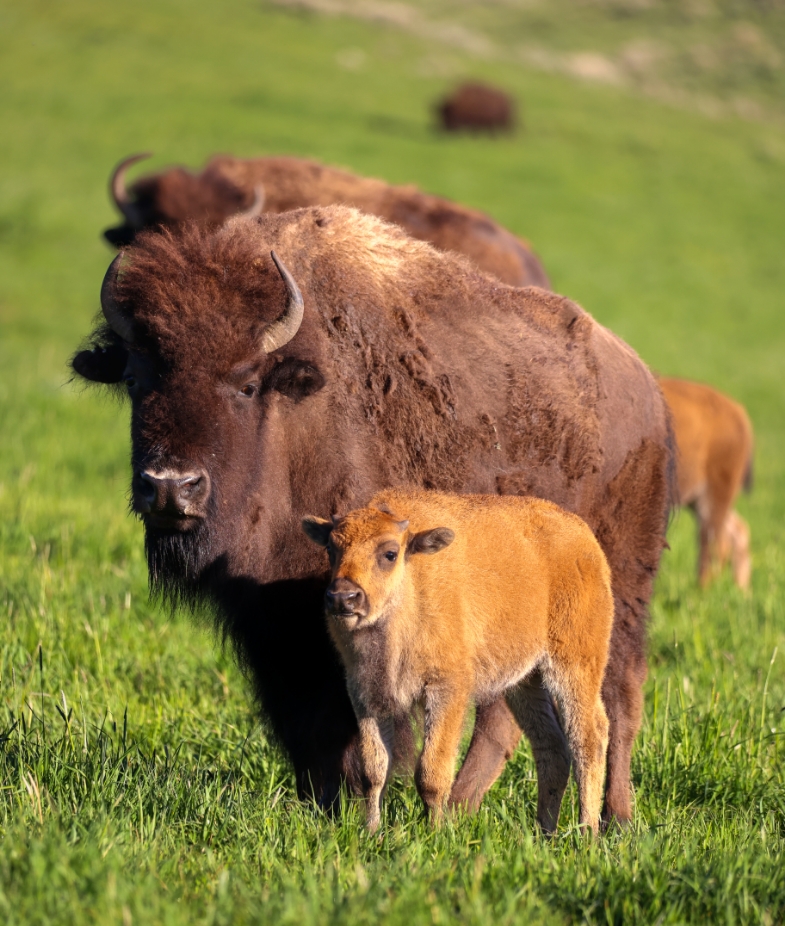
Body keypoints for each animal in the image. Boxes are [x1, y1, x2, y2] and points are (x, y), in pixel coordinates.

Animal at [304, 490, 616, 836]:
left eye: (389, 553)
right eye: (331, 549)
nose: (342, 597)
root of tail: (585, 539)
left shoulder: (446, 691)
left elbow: (431, 772)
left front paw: (435, 832)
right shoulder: (366, 695)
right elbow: (374, 770)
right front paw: (371, 832)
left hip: (574, 665)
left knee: (588, 737)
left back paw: (587, 832)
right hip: (524, 681)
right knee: (551, 746)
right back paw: (544, 833)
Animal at [660, 376, 752, 588]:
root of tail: (738, 412)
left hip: (716, 492)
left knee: (713, 542)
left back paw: (701, 590)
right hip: (699, 499)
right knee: (736, 531)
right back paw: (741, 590)